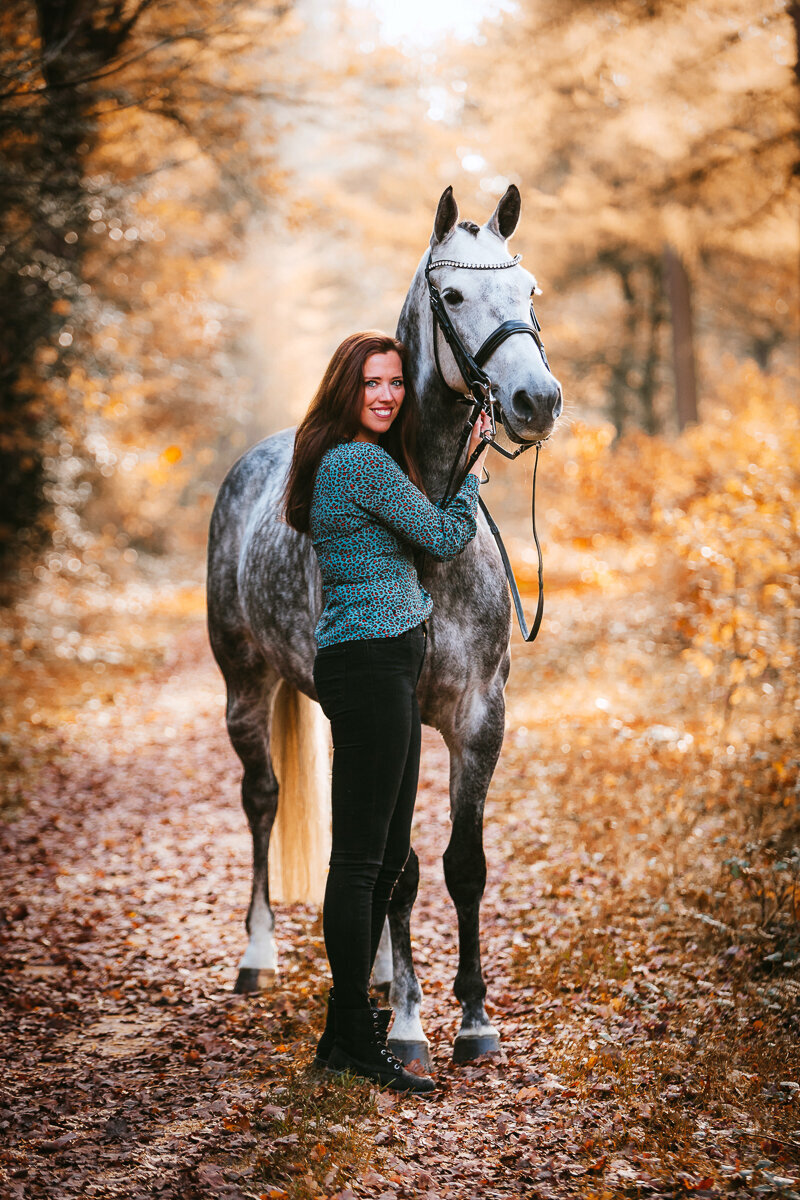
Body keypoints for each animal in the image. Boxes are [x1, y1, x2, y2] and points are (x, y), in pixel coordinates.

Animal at [206, 182, 563, 1065]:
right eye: (454, 297)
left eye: (530, 289)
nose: (537, 401)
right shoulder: (397, 715)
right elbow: (402, 867)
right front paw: (408, 1023)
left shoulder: (478, 719)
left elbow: (460, 865)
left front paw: (473, 1019)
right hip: (244, 686)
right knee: (262, 801)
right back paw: (259, 955)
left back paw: (364, 973)